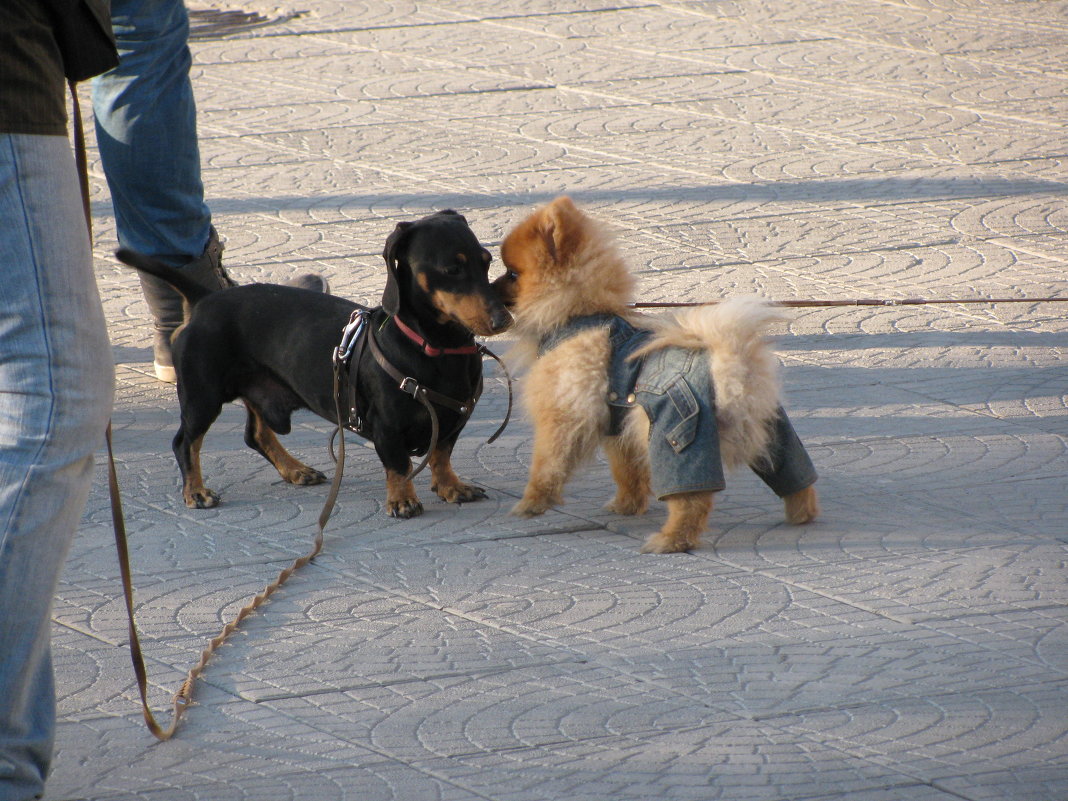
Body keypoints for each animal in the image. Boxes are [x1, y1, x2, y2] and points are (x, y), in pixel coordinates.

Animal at [491, 197, 815, 555]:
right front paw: (626, 506)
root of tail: (730, 369)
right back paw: (802, 515)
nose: (489, 287)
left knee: (692, 501)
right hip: (773, 430)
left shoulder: (563, 415)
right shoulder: (619, 425)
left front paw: (530, 505)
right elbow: (626, 471)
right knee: (796, 476)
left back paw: (669, 540)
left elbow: (547, 466)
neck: (581, 313)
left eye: (512, 273)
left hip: (677, 438)